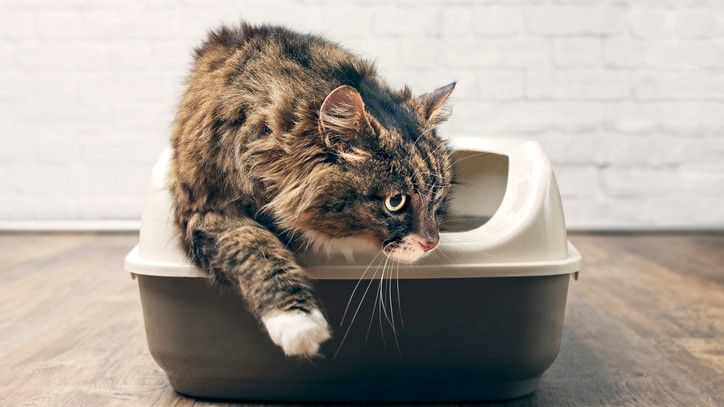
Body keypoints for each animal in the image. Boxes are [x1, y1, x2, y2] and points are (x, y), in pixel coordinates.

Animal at [170, 23, 452, 358]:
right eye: (395, 202)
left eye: (437, 196)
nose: (432, 243)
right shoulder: (205, 209)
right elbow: (255, 248)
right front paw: (297, 323)